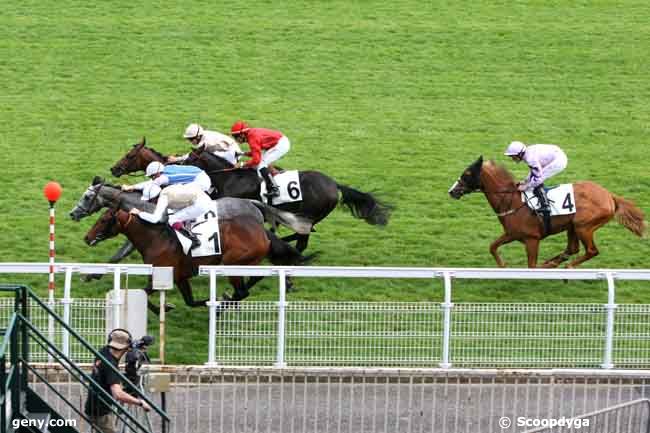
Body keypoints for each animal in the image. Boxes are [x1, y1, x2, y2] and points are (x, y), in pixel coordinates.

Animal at [83, 208, 312, 312]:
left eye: (103, 220)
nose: (86, 237)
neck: (156, 239)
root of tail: (262, 232)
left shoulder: (162, 276)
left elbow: (144, 296)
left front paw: (165, 307)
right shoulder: (180, 277)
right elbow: (190, 301)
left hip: (232, 263)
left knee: (242, 291)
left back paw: (222, 305)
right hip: (249, 263)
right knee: (251, 283)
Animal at [109, 138, 390, 251]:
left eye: (130, 155)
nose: (114, 168)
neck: (226, 175)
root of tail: (335, 185)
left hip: (311, 214)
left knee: (302, 238)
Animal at [448, 156, 644, 266]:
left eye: (467, 174)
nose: (452, 191)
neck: (511, 202)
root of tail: (609, 195)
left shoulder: (532, 239)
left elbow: (531, 266)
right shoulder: (512, 234)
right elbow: (492, 246)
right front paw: (503, 265)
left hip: (584, 226)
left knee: (591, 251)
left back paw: (567, 267)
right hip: (573, 225)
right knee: (572, 249)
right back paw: (553, 263)